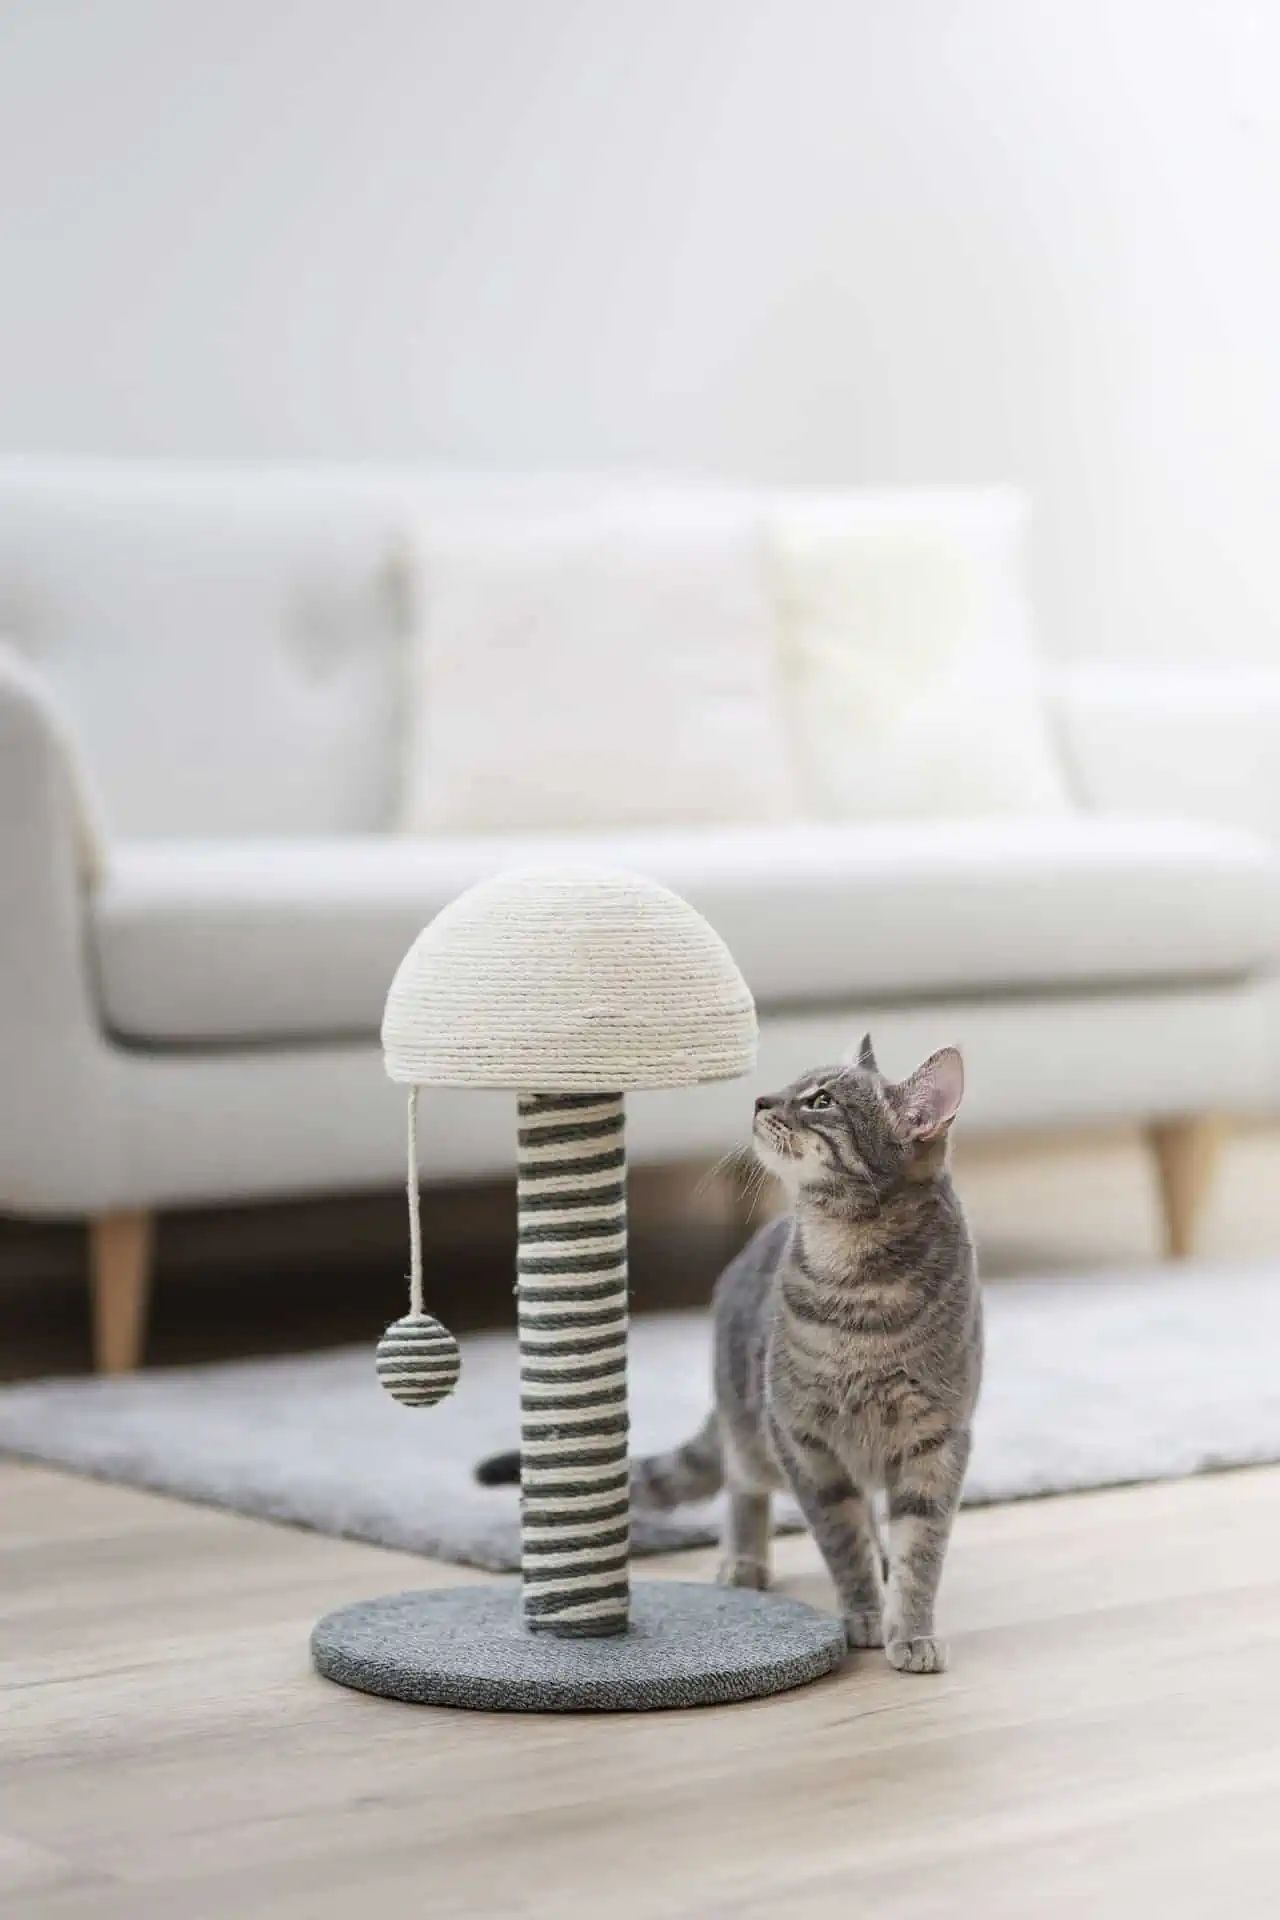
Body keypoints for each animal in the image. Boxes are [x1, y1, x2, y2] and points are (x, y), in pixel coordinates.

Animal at [476, 1034, 981, 1673]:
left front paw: (909, 1627)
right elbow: (842, 1542)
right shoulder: (802, 1440)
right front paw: (866, 1612)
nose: (762, 1099)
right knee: (744, 1487)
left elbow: (921, 1551)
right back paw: (746, 1560)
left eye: (821, 1101)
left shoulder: (937, 1442)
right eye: (793, 1086)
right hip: (753, 1427)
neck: (855, 1280)